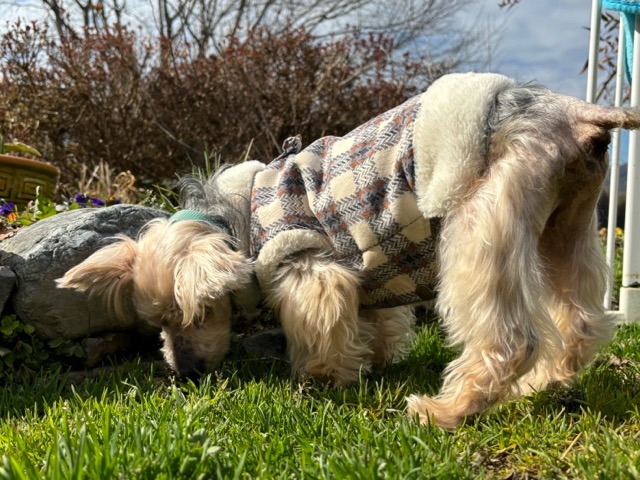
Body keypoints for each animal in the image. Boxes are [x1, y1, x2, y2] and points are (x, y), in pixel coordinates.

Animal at [58, 72, 640, 429]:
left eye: (198, 314)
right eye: (157, 323)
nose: (183, 374)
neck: (235, 220)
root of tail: (568, 110)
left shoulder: (308, 265)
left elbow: (319, 319)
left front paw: (318, 381)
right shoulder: (370, 268)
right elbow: (375, 317)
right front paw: (374, 359)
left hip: (480, 219)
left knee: (510, 337)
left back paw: (446, 410)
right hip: (565, 223)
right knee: (579, 319)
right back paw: (543, 384)